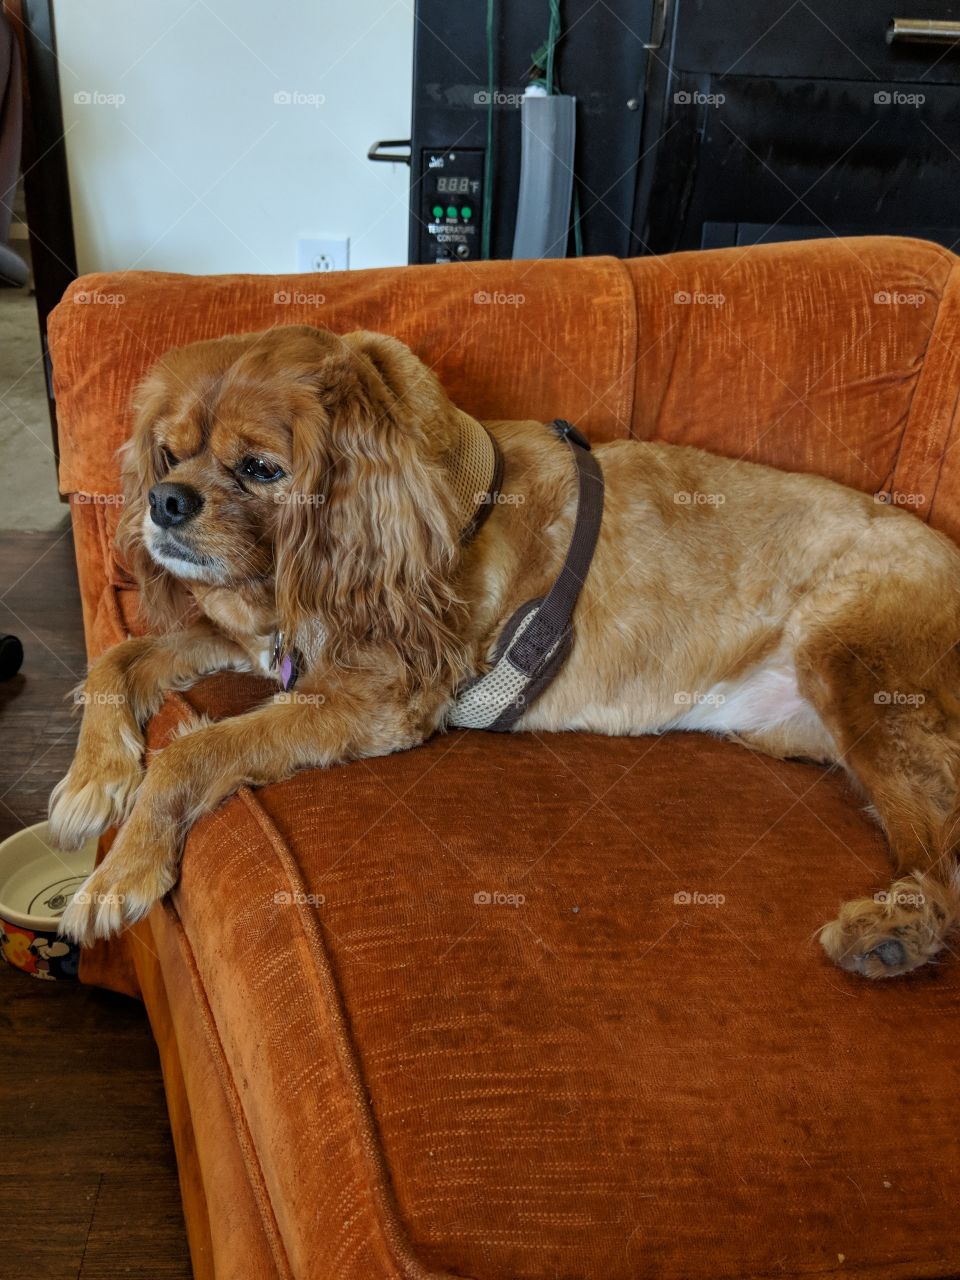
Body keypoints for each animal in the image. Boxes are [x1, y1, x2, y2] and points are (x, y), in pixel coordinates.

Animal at [50, 325, 960, 972]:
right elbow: (117, 660)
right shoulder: (265, 644)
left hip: (857, 670)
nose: (166, 501)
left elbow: (195, 752)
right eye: (168, 455)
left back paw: (894, 934)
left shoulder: (377, 698)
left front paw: (119, 872)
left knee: (948, 855)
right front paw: (93, 780)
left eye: (263, 469)